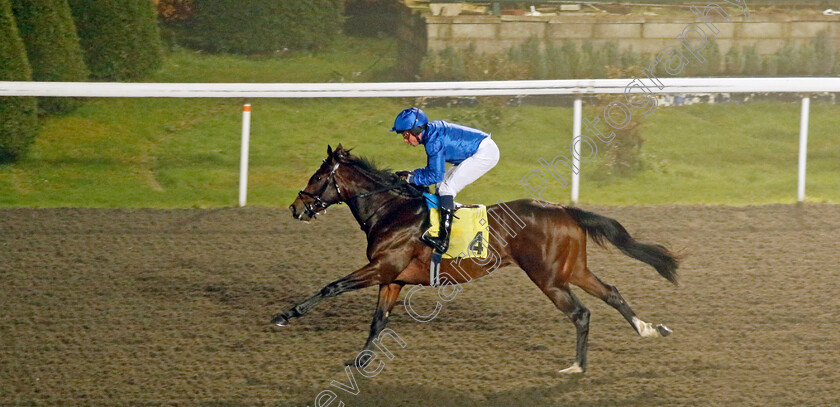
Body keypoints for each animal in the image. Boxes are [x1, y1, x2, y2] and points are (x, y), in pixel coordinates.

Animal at [272, 144, 680, 376]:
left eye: (318, 176)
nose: (295, 207)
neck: (391, 210)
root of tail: (564, 209)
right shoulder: (393, 278)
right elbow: (378, 322)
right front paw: (359, 362)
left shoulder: (382, 267)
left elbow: (333, 286)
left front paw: (286, 315)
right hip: (572, 269)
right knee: (611, 292)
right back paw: (648, 329)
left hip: (548, 277)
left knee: (581, 313)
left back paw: (577, 366)